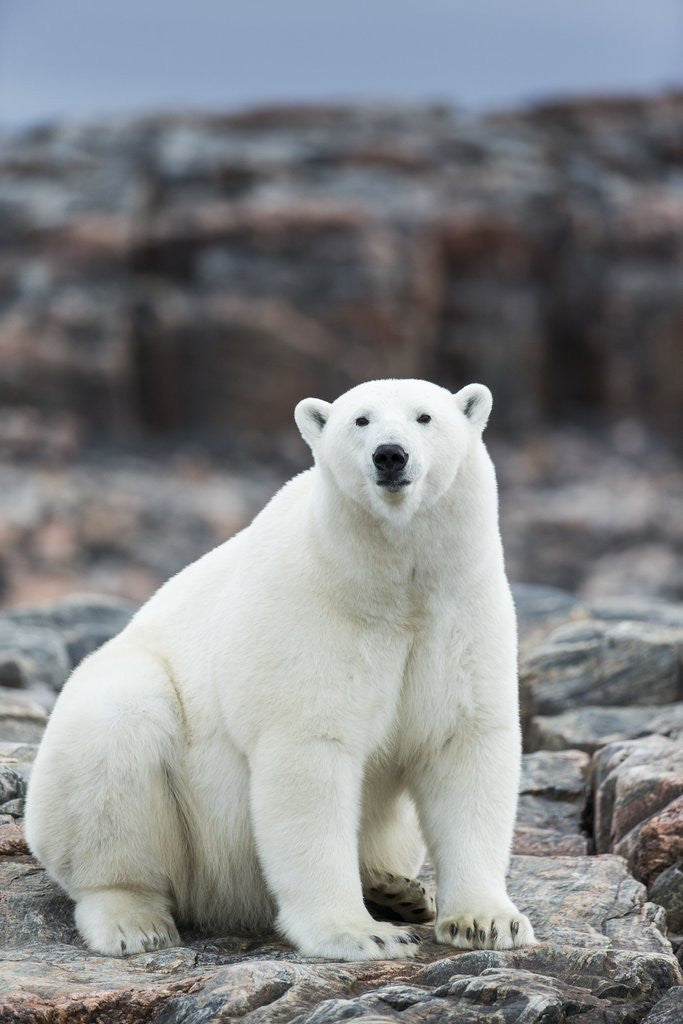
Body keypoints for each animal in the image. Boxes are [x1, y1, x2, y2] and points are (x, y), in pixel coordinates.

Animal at [25, 378, 535, 961]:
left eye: (425, 416)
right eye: (360, 420)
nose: (390, 455)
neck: (389, 586)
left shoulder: (459, 610)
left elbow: (463, 744)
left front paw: (488, 922)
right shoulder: (314, 615)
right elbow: (310, 755)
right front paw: (361, 934)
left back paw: (396, 888)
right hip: (163, 805)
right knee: (118, 731)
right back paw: (134, 919)